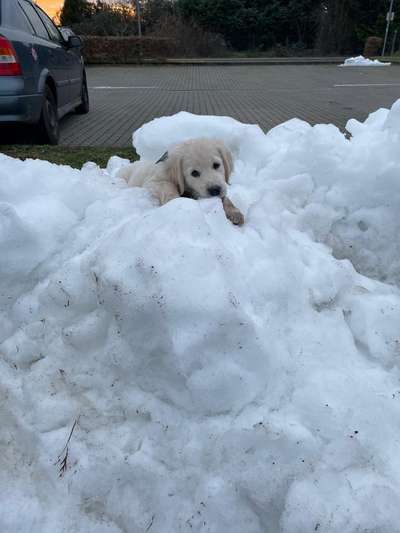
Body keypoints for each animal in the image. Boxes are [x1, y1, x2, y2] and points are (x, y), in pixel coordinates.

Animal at [117, 137, 245, 224]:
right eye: (194, 173)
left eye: (216, 165)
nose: (215, 190)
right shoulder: (154, 181)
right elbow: (168, 188)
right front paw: (176, 203)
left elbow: (226, 199)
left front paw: (234, 212)